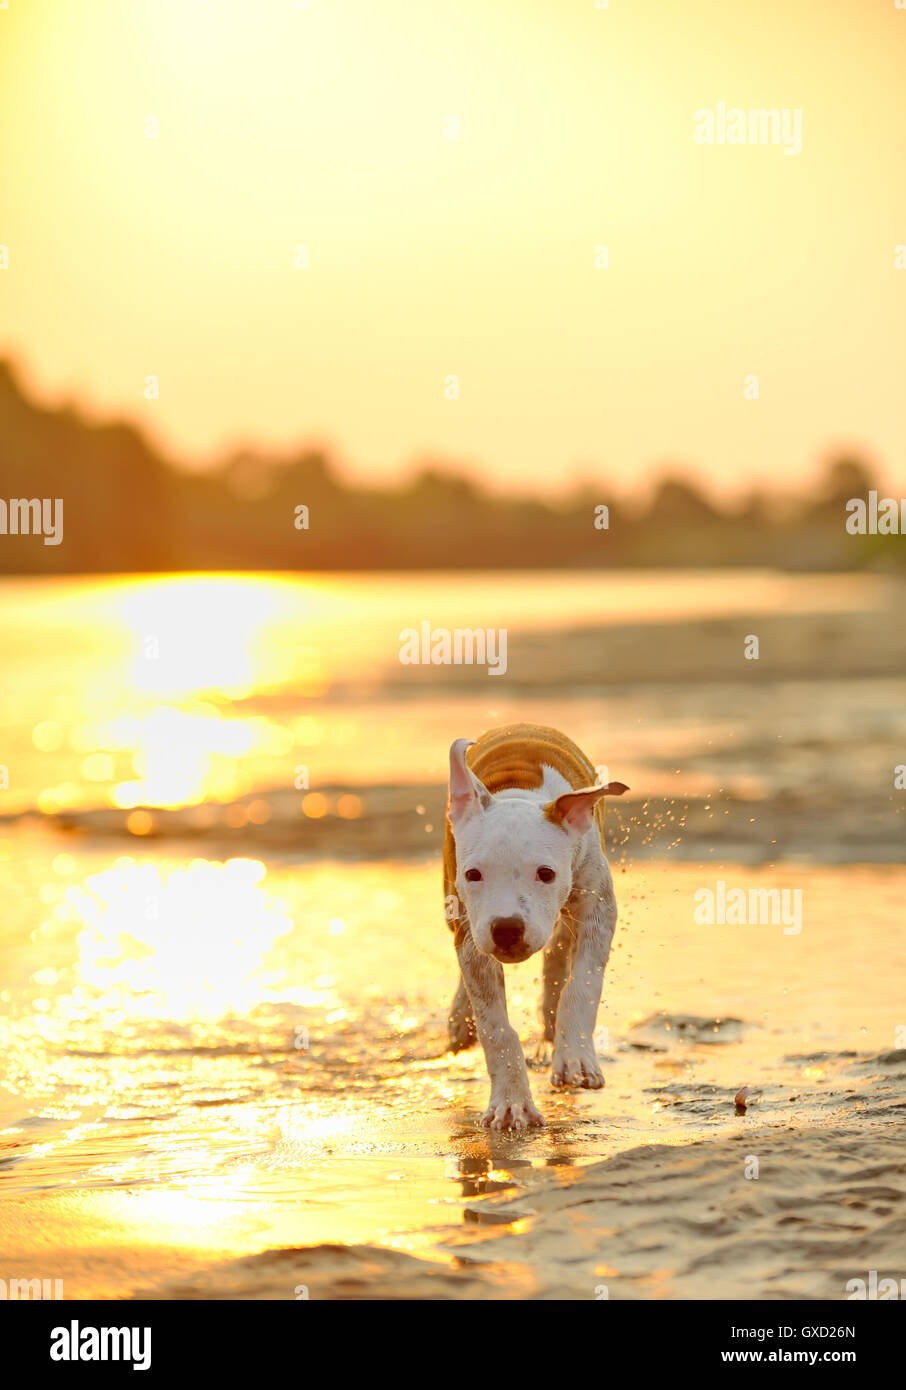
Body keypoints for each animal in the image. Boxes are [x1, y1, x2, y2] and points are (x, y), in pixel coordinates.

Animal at [441, 728, 625, 1128]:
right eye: (473, 874)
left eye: (546, 873)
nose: (507, 928)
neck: (519, 795)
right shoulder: (469, 929)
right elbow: (496, 1027)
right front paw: (511, 1103)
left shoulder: (597, 907)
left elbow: (583, 984)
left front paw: (576, 1058)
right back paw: (461, 1021)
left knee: (559, 951)